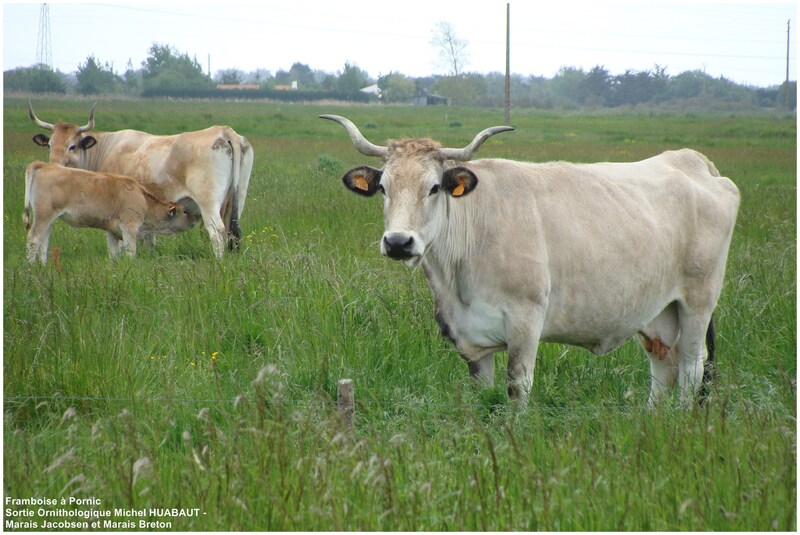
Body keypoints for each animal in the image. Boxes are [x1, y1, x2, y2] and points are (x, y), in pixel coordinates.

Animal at [23, 162, 198, 264]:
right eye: (184, 211)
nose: (195, 220)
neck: (143, 199)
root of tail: (46, 165)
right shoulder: (130, 228)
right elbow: (130, 252)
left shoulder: (112, 232)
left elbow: (113, 254)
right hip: (44, 217)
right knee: (34, 238)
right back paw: (31, 266)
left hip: (48, 220)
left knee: (43, 241)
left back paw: (44, 266)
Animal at [318, 115, 736, 408]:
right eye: (383, 187)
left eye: (434, 187)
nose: (399, 242)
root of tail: (692, 160)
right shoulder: (472, 339)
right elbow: (483, 397)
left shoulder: (525, 320)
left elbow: (517, 391)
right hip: (659, 313)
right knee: (664, 367)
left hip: (698, 302)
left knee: (692, 367)